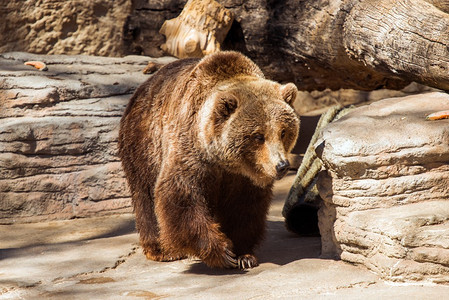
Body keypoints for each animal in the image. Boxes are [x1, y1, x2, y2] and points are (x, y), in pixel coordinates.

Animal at [119, 51, 300, 270]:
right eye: (258, 136)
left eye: (283, 132)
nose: (281, 165)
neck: (225, 162)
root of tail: (143, 87)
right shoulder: (190, 151)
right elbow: (180, 195)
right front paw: (222, 251)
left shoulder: (243, 178)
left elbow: (245, 207)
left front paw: (244, 255)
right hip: (145, 143)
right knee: (145, 194)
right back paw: (161, 249)